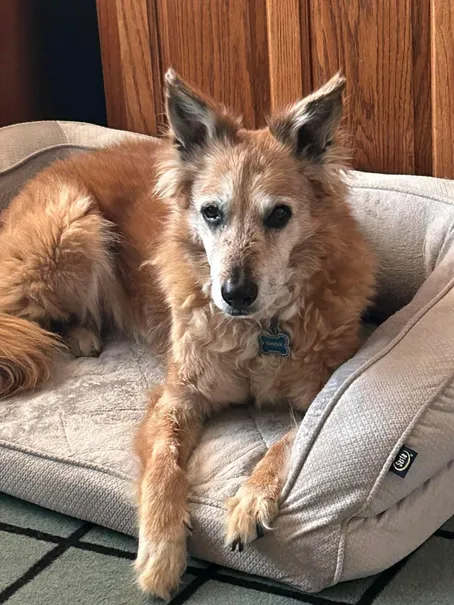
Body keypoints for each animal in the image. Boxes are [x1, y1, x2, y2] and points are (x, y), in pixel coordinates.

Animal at [0, 69, 376, 596]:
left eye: (280, 215)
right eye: (211, 212)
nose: (234, 293)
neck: (256, 330)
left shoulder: (322, 389)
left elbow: (292, 441)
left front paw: (251, 498)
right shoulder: (177, 396)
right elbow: (163, 466)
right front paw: (160, 550)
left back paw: (84, 336)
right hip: (71, 229)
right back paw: (78, 335)